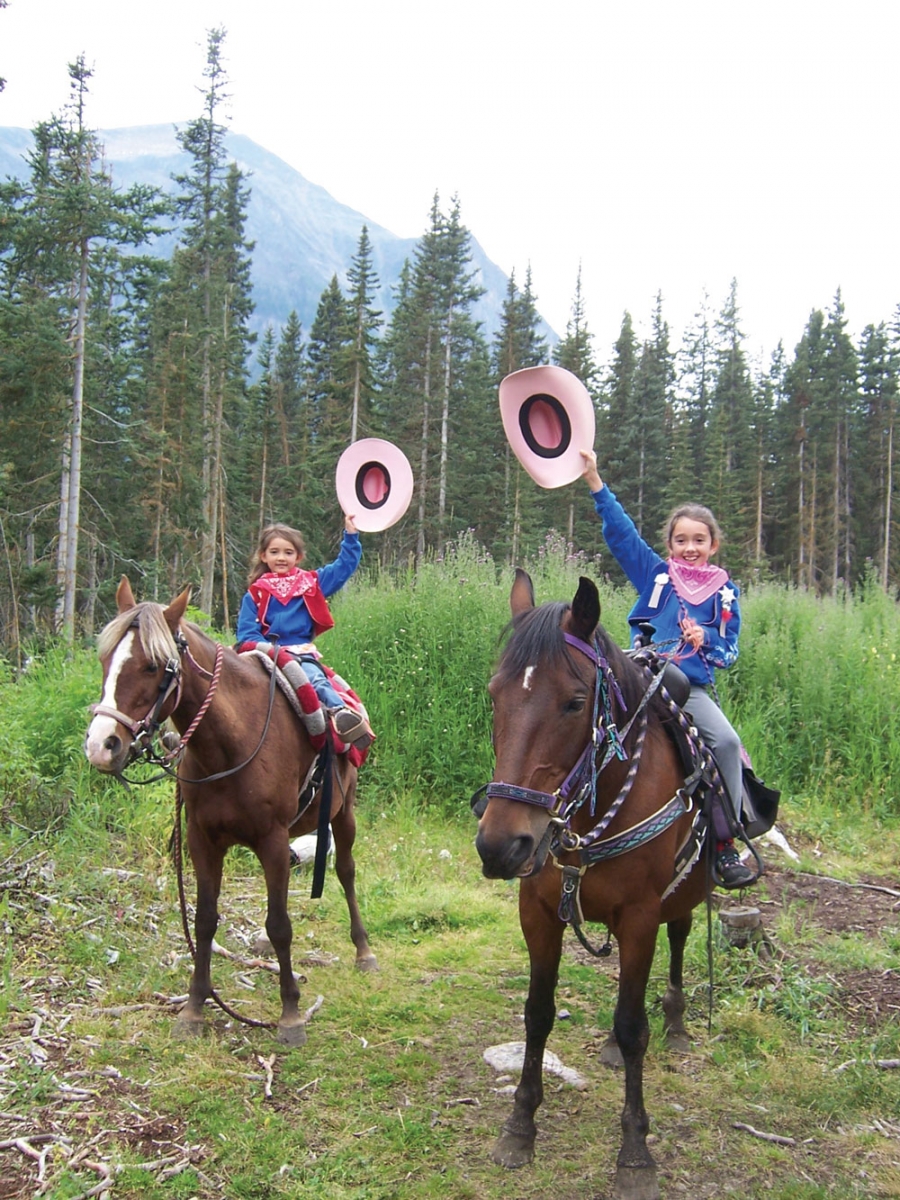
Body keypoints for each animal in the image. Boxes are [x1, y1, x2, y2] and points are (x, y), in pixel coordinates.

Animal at [84, 578, 376, 1041]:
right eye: (105, 660)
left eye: (153, 666)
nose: (101, 745)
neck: (231, 742)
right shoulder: (202, 840)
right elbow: (204, 920)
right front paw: (194, 1008)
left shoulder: (272, 841)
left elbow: (279, 925)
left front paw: (290, 1015)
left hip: (343, 812)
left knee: (346, 872)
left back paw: (364, 951)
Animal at [475, 571, 715, 1200]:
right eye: (494, 695)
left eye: (575, 702)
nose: (501, 846)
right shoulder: (537, 911)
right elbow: (537, 1013)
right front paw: (520, 1127)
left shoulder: (639, 916)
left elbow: (634, 1028)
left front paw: (635, 1154)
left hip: (682, 895)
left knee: (678, 939)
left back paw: (676, 1022)